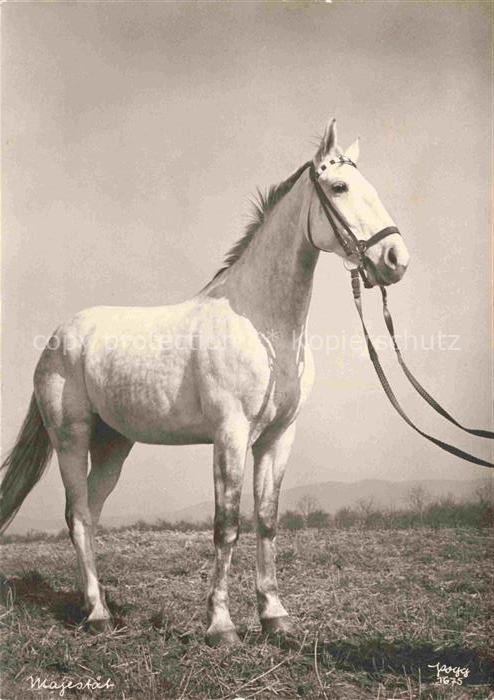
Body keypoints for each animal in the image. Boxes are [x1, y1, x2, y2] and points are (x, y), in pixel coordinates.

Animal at [0, 118, 409, 644]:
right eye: (339, 187)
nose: (396, 259)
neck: (262, 323)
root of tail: (56, 338)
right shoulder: (230, 435)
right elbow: (227, 524)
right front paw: (221, 625)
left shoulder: (278, 437)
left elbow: (267, 521)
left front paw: (275, 617)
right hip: (71, 437)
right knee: (77, 515)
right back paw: (97, 614)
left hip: (114, 444)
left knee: (90, 515)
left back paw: (96, 604)